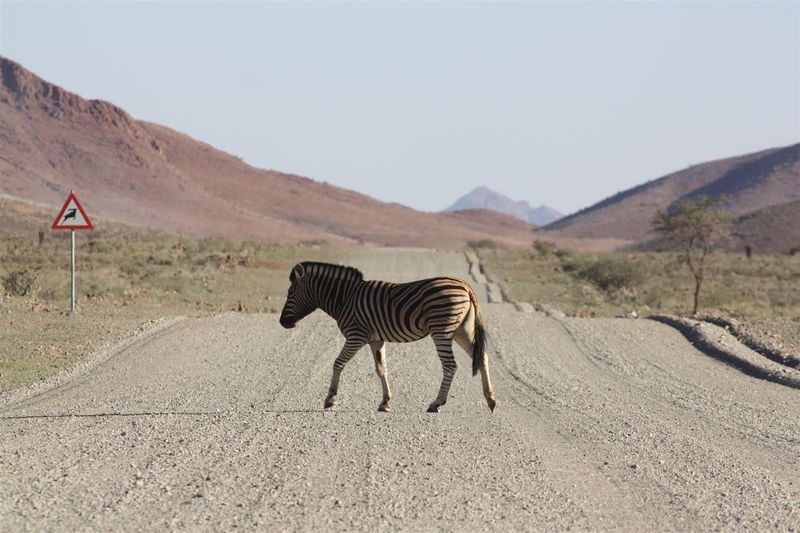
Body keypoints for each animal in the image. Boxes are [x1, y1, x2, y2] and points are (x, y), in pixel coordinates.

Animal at [279, 261, 498, 413]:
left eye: (290, 293)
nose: (282, 323)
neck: (344, 299)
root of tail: (465, 285)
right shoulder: (375, 339)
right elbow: (381, 369)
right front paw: (385, 402)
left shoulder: (356, 336)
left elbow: (338, 363)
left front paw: (330, 399)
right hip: (462, 330)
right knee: (482, 357)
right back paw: (491, 400)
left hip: (442, 330)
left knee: (450, 365)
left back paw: (436, 403)